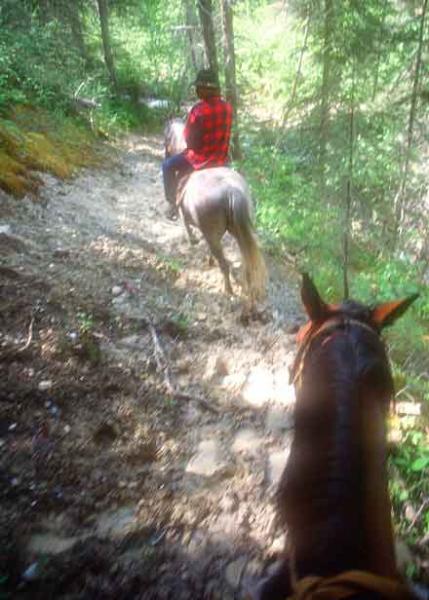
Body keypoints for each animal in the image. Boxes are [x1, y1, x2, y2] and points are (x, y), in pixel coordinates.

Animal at [163, 119, 266, 302]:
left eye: (165, 139)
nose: (165, 155)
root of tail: (232, 191)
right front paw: (208, 258)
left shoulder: (187, 218)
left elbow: (188, 229)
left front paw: (192, 241)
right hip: (239, 232)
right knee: (244, 264)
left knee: (224, 264)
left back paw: (228, 291)